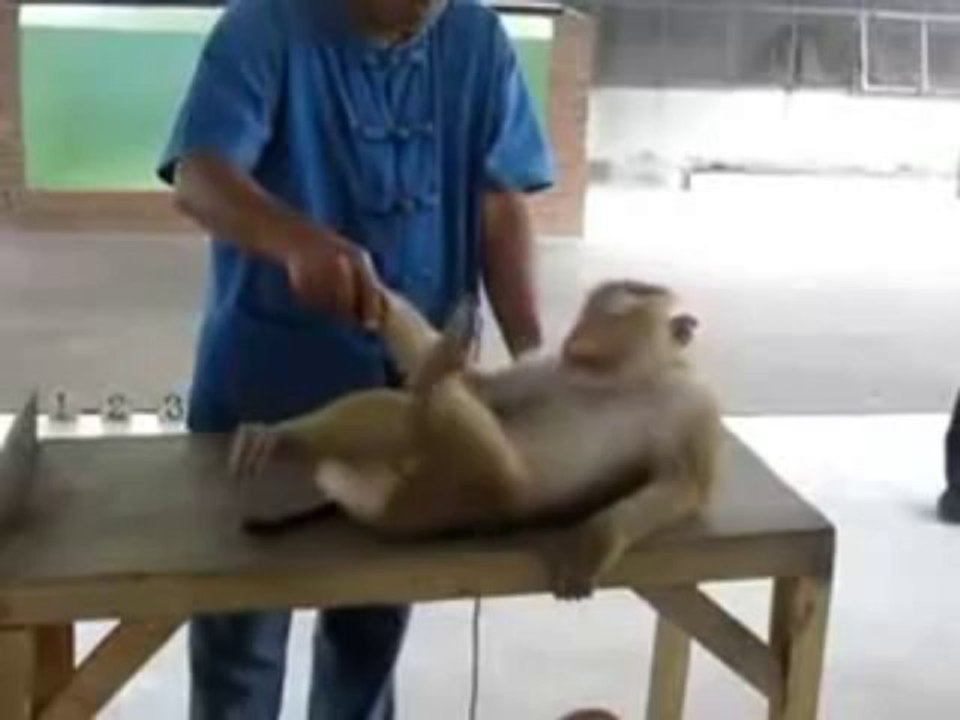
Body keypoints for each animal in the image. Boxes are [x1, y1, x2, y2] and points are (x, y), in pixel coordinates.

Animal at [231, 278, 723, 599]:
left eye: (615, 311)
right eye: (590, 307)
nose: (577, 332)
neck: (625, 378)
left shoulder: (695, 406)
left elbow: (684, 485)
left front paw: (595, 541)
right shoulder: (550, 368)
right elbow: (482, 387)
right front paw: (375, 294)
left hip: (452, 495)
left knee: (480, 457)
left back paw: (442, 362)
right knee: (412, 412)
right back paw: (287, 439)